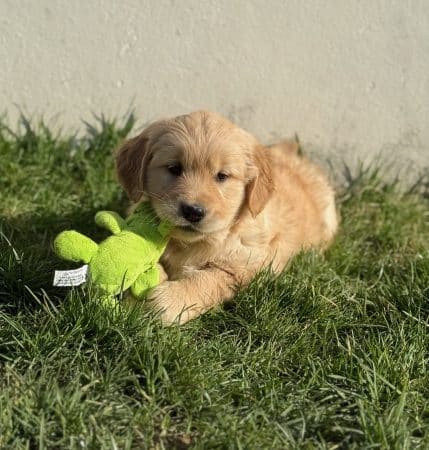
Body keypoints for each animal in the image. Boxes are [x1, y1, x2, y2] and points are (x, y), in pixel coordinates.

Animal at [115, 111, 336, 326]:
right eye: (174, 168)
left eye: (222, 176)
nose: (193, 211)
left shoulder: (247, 266)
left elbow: (208, 280)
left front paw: (168, 300)